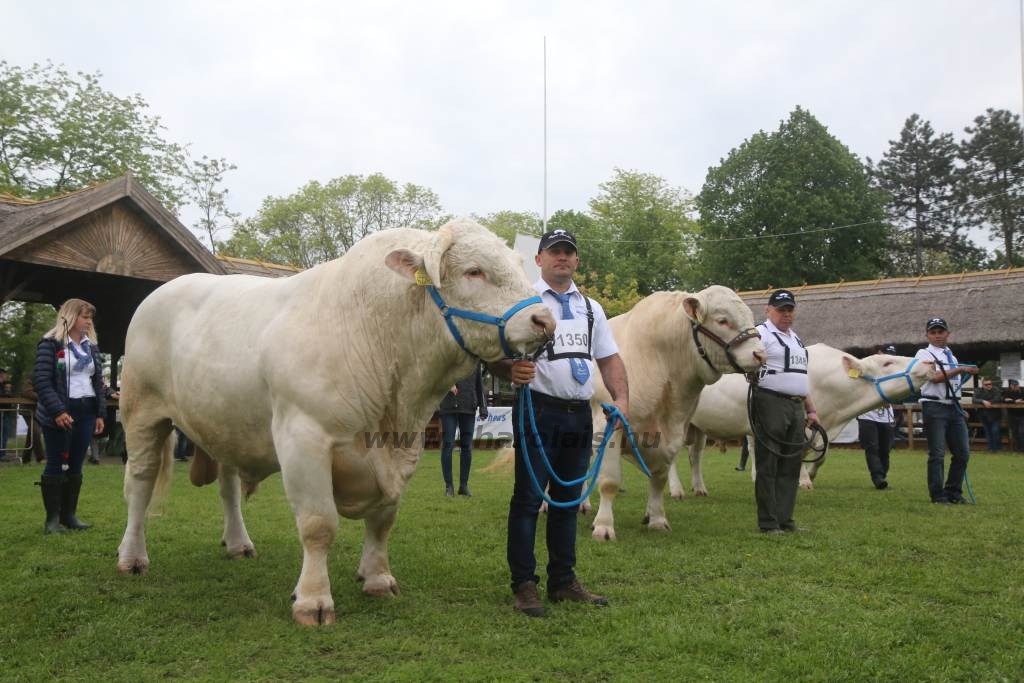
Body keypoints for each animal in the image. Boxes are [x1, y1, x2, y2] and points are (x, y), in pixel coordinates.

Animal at [116, 219, 557, 626]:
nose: (545, 320)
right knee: (139, 484)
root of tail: (164, 289)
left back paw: (239, 544)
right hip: (140, 414)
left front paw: (378, 579)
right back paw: (132, 557)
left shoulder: (405, 444)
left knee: (227, 489)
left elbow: (383, 520)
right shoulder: (303, 438)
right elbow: (318, 524)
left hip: (225, 425)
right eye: (474, 271)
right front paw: (312, 600)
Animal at [585, 286, 770, 540]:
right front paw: (603, 526)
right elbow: (609, 481)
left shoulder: (674, 431)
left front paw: (656, 518)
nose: (760, 355)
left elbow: (659, 478)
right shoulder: (608, 425)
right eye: (722, 320)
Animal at [671, 348, 937, 497]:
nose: (929, 362)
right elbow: (796, 453)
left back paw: (699, 488)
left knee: (695, 455)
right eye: (887, 363)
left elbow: (822, 454)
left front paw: (809, 474)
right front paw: (803, 481)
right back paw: (677, 490)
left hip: (698, 426)